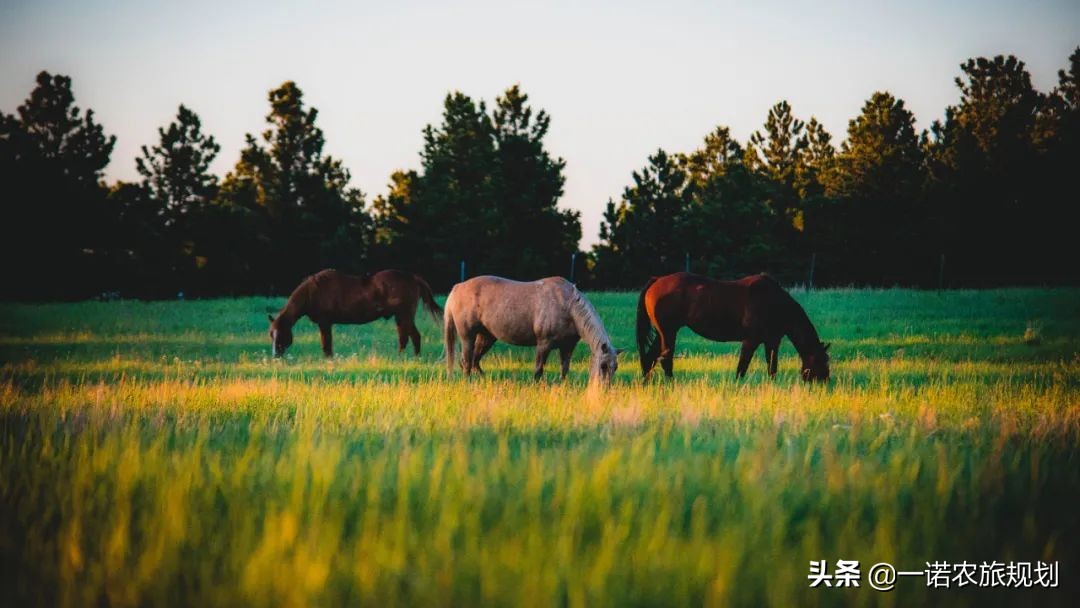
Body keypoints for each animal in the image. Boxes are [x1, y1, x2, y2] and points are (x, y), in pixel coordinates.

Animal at [267, 268, 440, 358]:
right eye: (271, 335)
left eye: (281, 334)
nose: (275, 355)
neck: (313, 292)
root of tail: (413, 277)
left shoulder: (325, 322)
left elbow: (326, 344)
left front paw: (328, 359)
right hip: (400, 318)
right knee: (404, 338)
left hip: (404, 316)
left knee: (414, 336)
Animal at [440, 276, 626, 384]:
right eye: (603, 366)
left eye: (615, 367)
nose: (605, 389)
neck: (568, 306)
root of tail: (457, 288)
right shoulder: (544, 344)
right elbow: (538, 370)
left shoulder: (567, 347)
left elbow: (565, 369)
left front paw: (562, 386)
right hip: (468, 336)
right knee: (466, 362)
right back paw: (468, 384)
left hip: (486, 337)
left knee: (474, 361)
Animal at [635, 274, 829, 382]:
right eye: (822, 360)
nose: (825, 382)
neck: (774, 303)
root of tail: (657, 280)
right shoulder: (750, 341)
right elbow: (742, 367)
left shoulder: (772, 342)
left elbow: (772, 368)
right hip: (668, 333)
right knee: (665, 360)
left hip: (663, 334)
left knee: (650, 359)